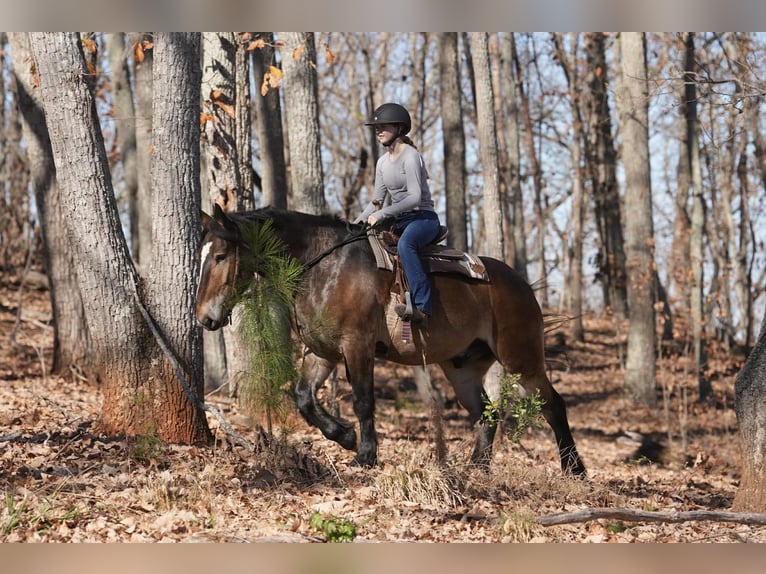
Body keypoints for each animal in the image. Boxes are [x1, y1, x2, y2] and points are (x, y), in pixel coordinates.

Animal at [195, 204, 586, 475]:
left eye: (220, 256)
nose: (204, 318)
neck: (324, 266)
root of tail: (522, 285)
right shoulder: (323, 351)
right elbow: (304, 397)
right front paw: (345, 436)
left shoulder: (357, 346)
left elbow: (363, 401)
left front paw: (365, 455)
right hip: (462, 368)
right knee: (485, 415)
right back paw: (477, 468)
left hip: (521, 359)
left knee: (553, 405)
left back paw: (573, 469)